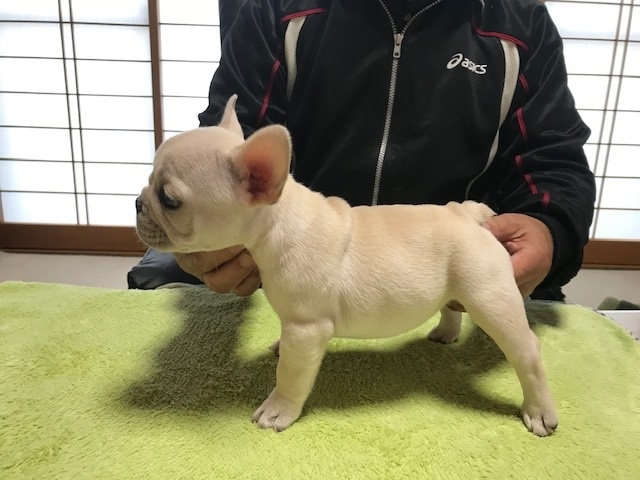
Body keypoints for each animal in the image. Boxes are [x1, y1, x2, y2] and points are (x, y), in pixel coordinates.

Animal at [136, 95, 558, 436]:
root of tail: (469, 215)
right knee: (451, 307)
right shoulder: (296, 324)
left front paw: (277, 411)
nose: (138, 202)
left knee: (527, 352)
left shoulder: (307, 329)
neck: (278, 223)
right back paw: (445, 333)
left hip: (490, 297)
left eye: (170, 200)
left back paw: (539, 411)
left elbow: (290, 375)